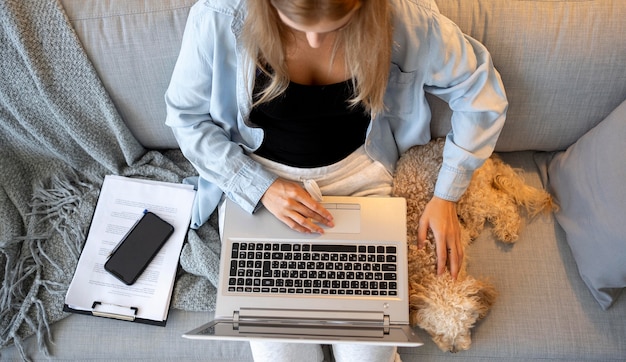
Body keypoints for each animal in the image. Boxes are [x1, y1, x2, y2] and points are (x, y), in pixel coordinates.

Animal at [392, 138, 552, 350]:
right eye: (437, 332)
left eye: (466, 327)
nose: (453, 351)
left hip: (470, 193)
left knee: (501, 203)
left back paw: (507, 229)